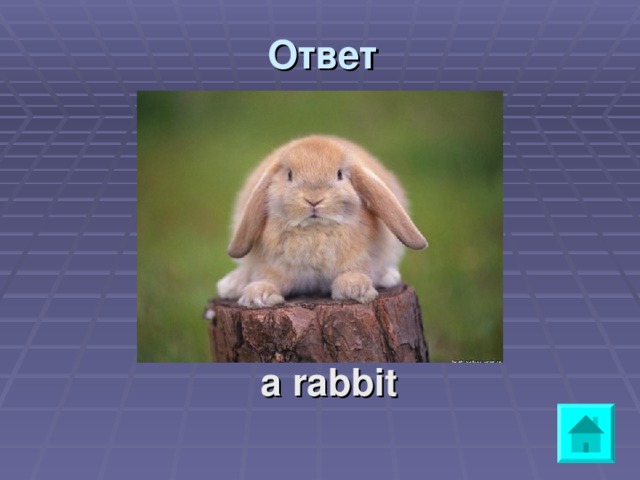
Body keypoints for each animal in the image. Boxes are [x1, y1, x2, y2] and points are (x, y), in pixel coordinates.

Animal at [216, 135, 427, 308]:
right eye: (289, 175)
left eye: (339, 174)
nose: (313, 199)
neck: (315, 230)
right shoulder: (274, 266)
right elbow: (269, 279)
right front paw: (257, 295)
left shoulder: (360, 260)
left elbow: (352, 273)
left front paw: (356, 289)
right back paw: (231, 285)